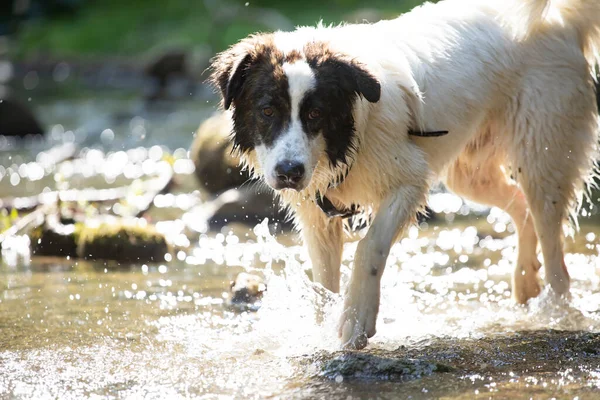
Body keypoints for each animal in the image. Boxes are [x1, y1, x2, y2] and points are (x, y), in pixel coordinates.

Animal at [207, 0, 600, 348]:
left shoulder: (408, 182)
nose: (289, 172)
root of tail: (560, 19)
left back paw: (556, 312)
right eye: (267, 111)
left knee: (553, 249)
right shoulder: (317, 212)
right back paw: (525, 283)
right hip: (469, 173)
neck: (350, 137)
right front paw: (320, 331)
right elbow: (322, 281)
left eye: (316, 114)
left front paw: (356, 320)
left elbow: (369, 247)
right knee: (520, 206)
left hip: (543, 155)